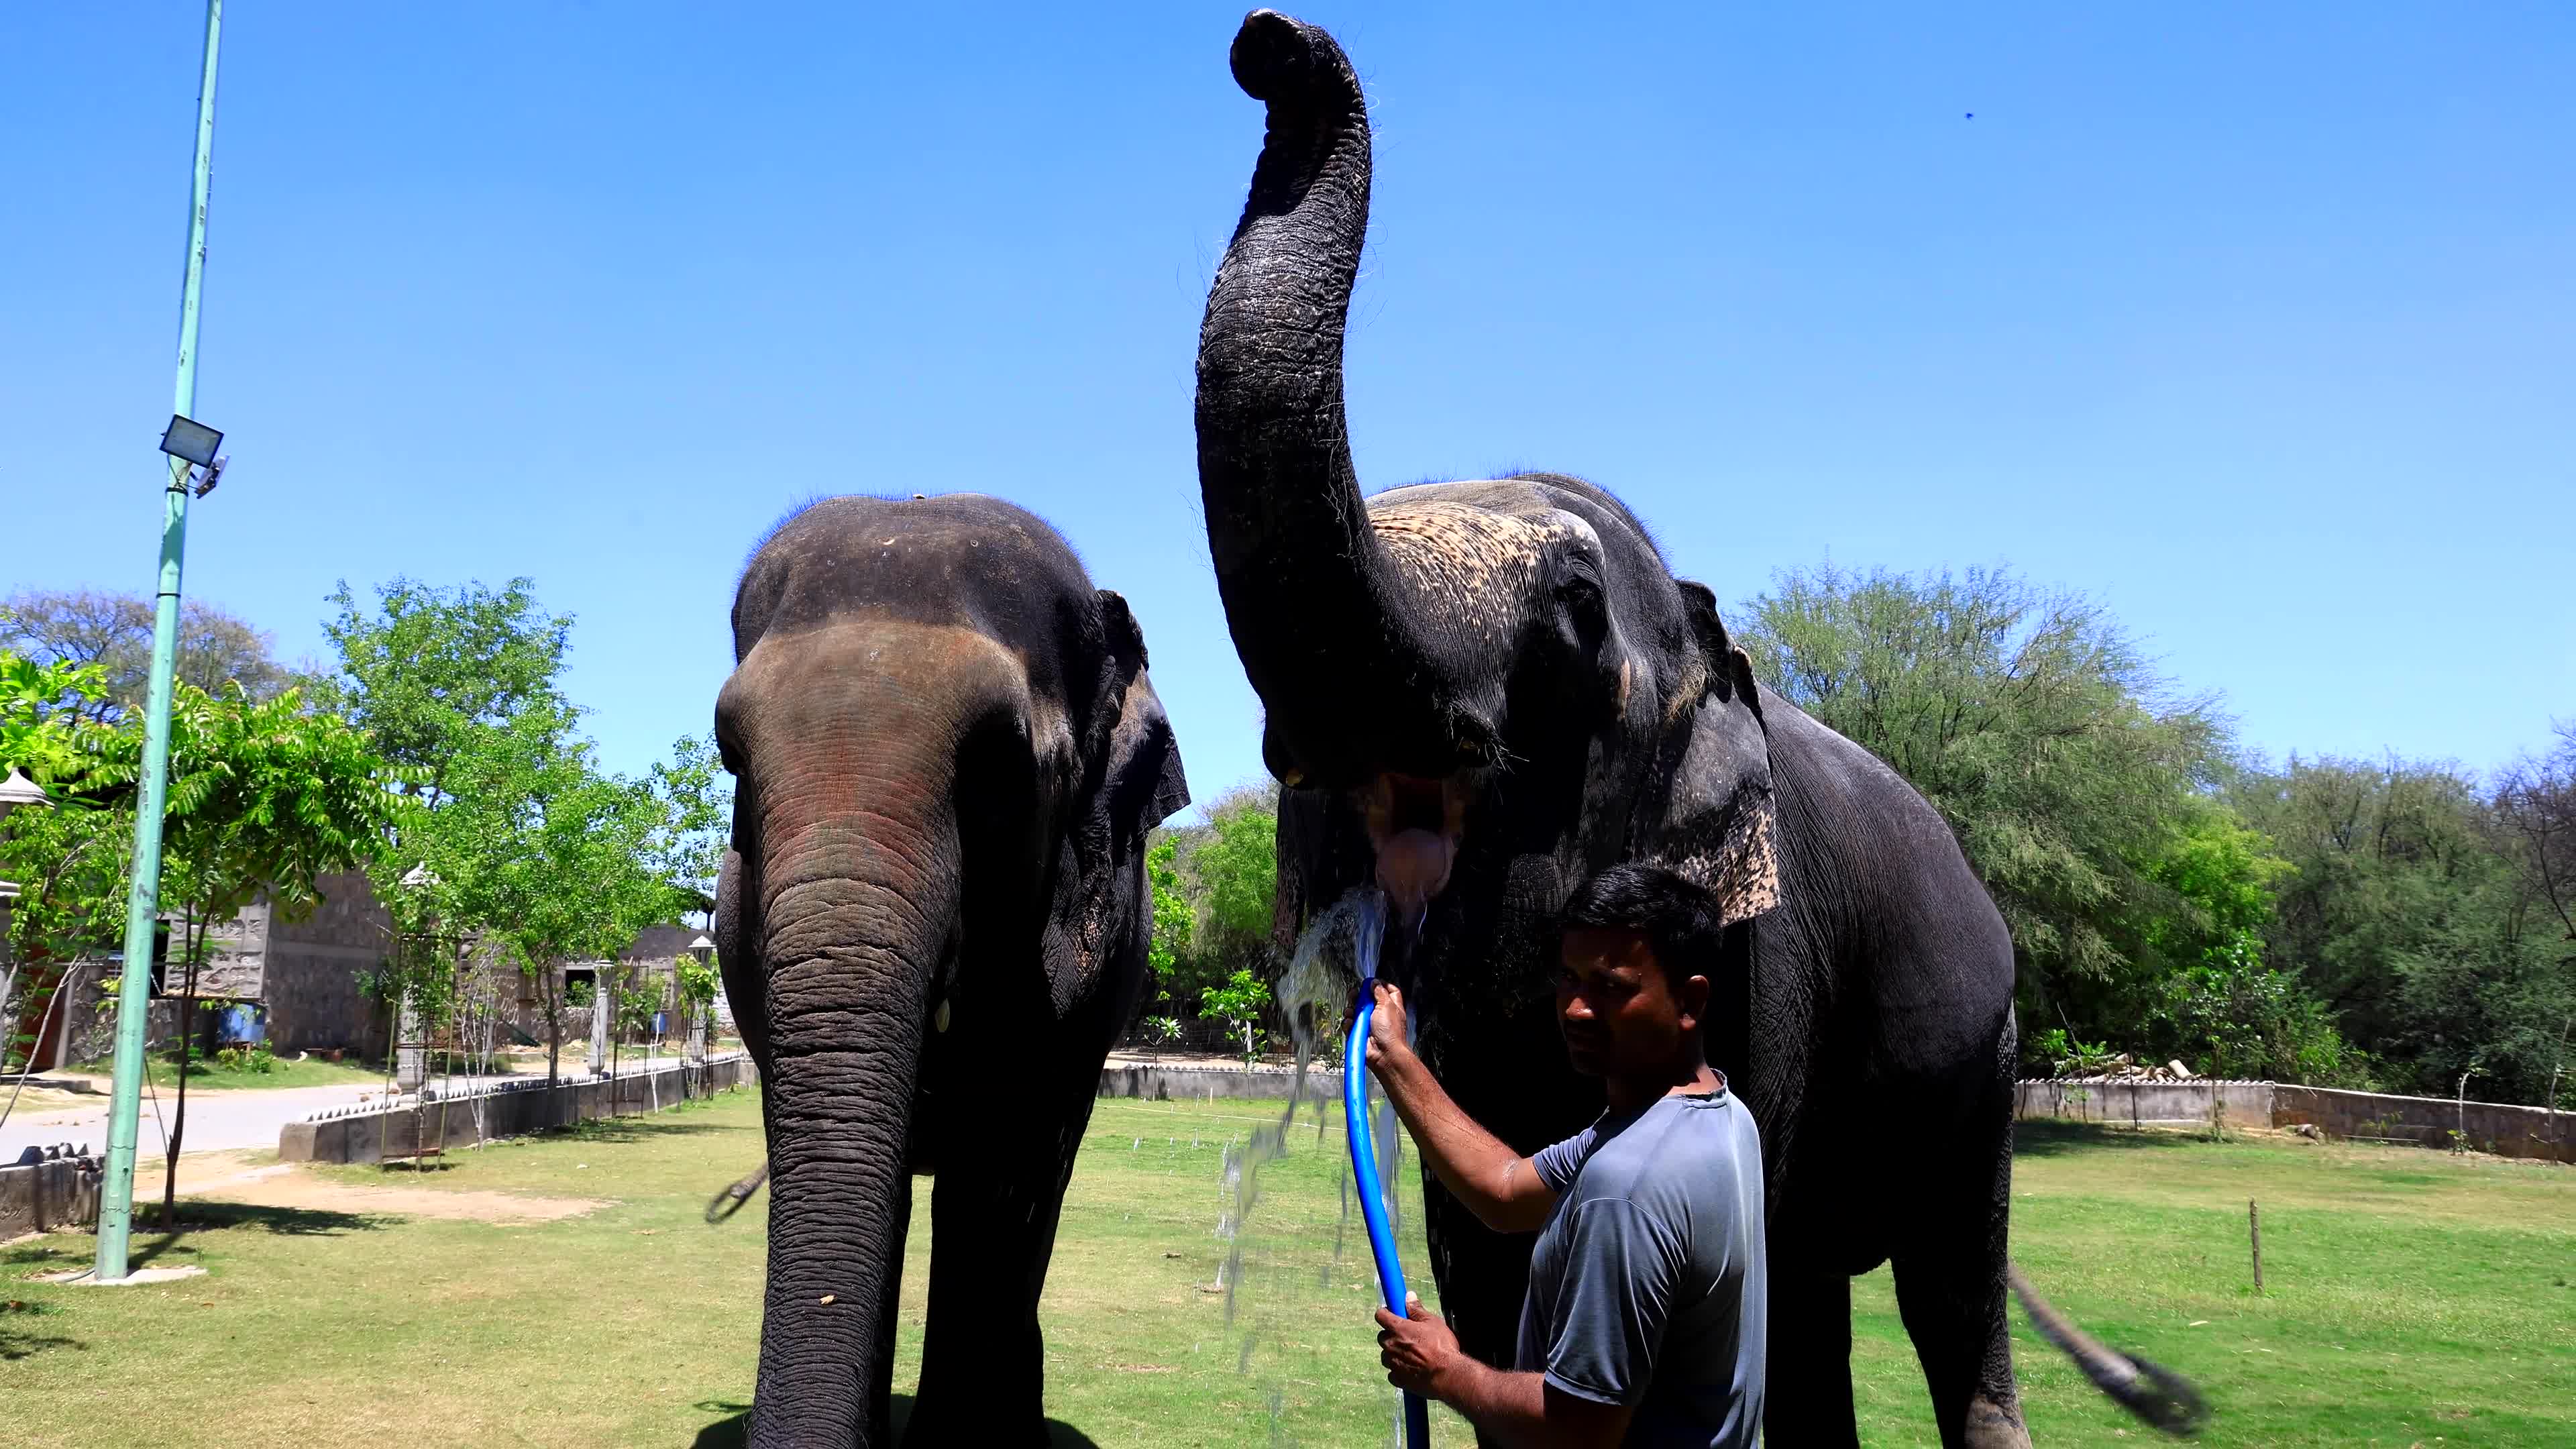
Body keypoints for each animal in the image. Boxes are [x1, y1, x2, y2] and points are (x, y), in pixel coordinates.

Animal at [1192, 13, 2200, 1447]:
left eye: (1569, 614)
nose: (1269, 43)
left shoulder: (1765, 958)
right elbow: (1484, 1246)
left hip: (1985, 1054)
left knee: (1948, 1285)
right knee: (1818, 1294)